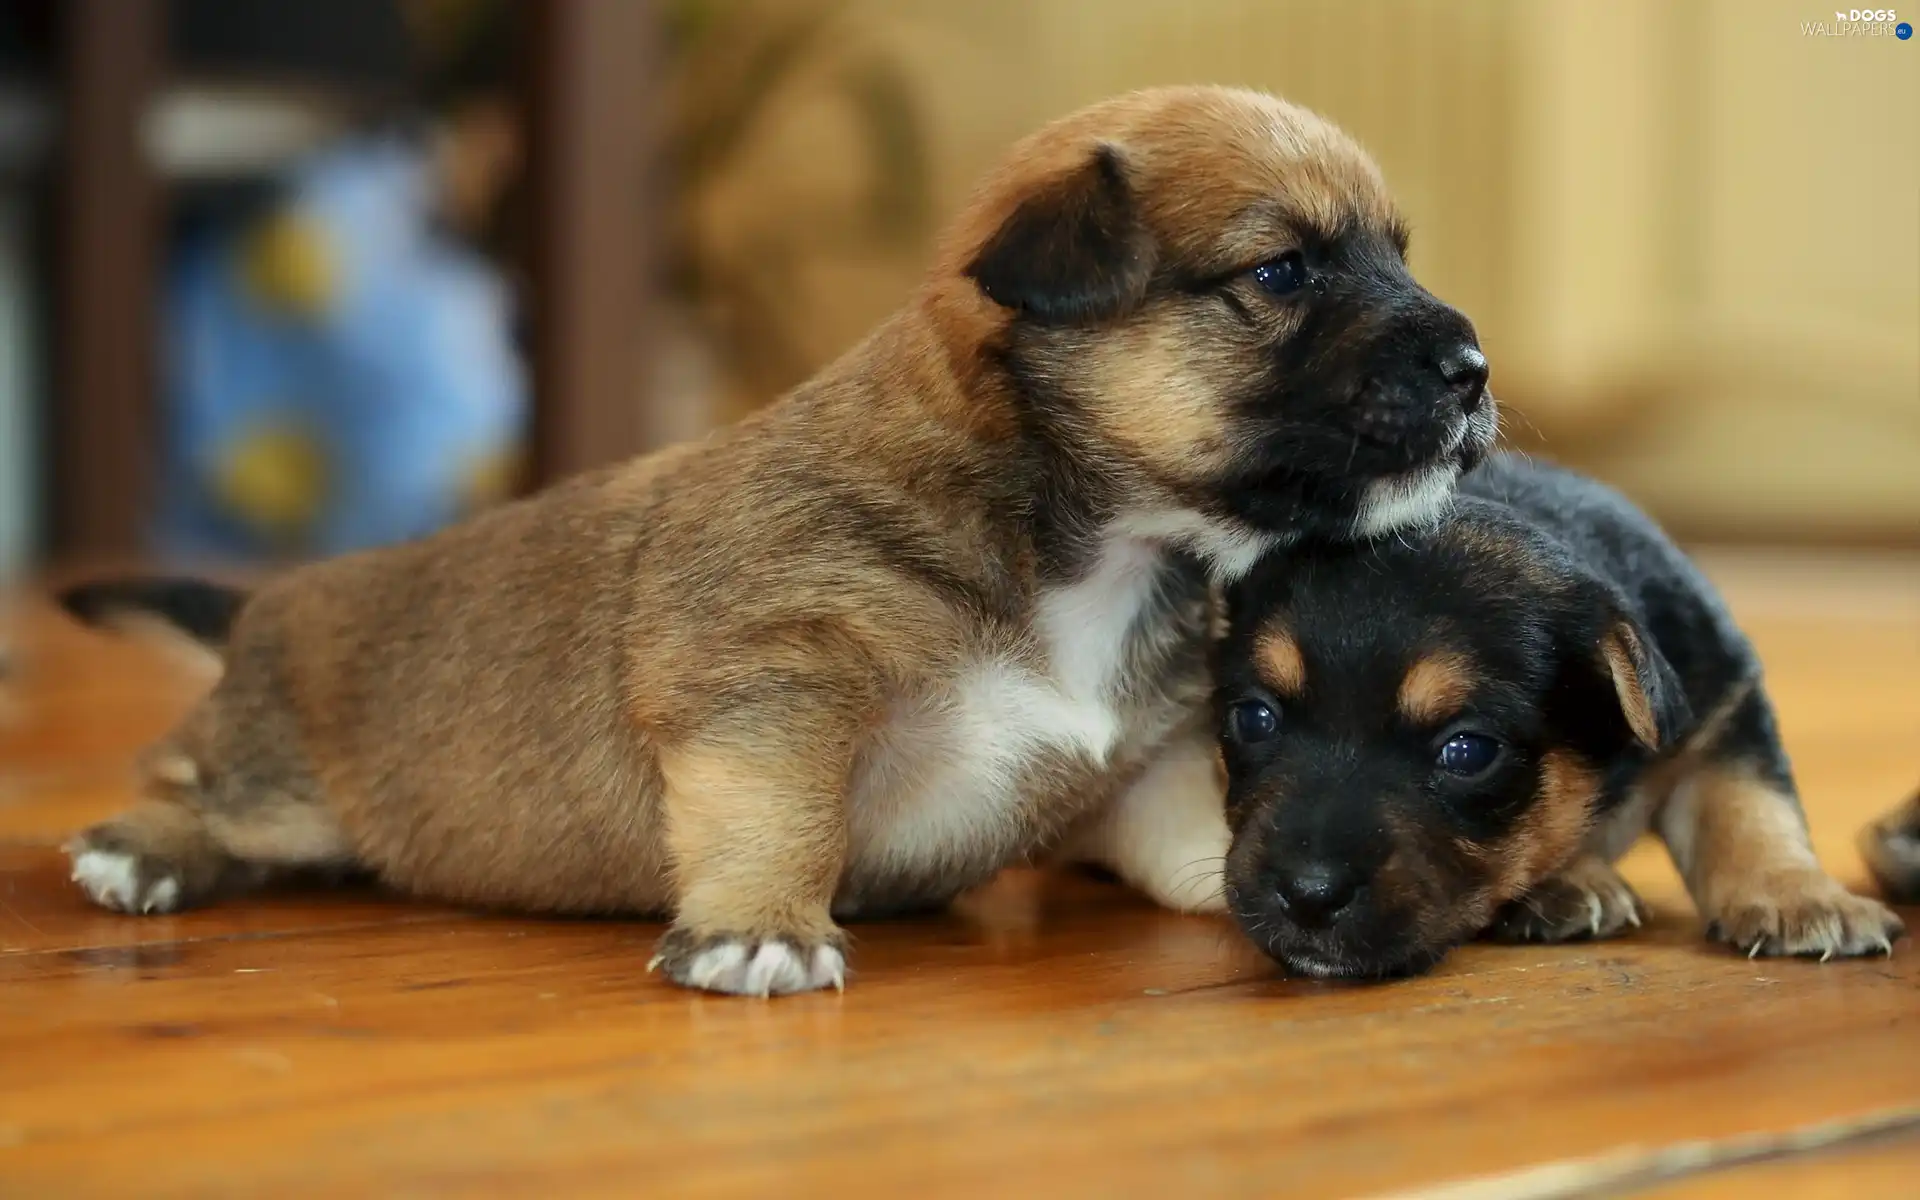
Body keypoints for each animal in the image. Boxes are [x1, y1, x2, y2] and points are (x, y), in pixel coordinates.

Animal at [56, 86, 1497, 990]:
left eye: (1396, 254)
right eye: (1282, 273)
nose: (1476, 368)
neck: (1086, 541)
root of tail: (265, 609)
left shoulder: (1142, 776)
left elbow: (1216, 832)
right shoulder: (774, 689)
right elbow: (781, 815)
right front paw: (759, 929)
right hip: (279, 775)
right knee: (186, 773)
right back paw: (144, 849)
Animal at [1213, 453, 1904, 979]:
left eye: (1468, 751)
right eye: (1254, 719)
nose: (1308, 894)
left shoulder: (1723, 707)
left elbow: (1750, 805)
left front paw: (1800, 896)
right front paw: (1568, 882)